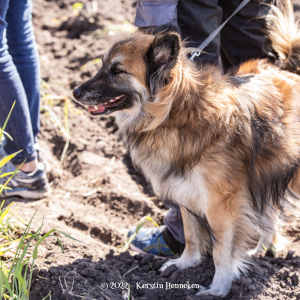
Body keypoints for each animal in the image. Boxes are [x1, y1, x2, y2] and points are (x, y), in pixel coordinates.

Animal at [73, 0, 300, 296]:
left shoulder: (221, 205)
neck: (173, 114)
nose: (75, 92)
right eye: (102, 67)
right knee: (268, 212)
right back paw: (263, 248)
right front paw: (185, 265)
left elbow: (221, 251)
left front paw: (218, 288)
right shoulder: (185, 191)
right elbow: (191, 235)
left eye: (117, 71)